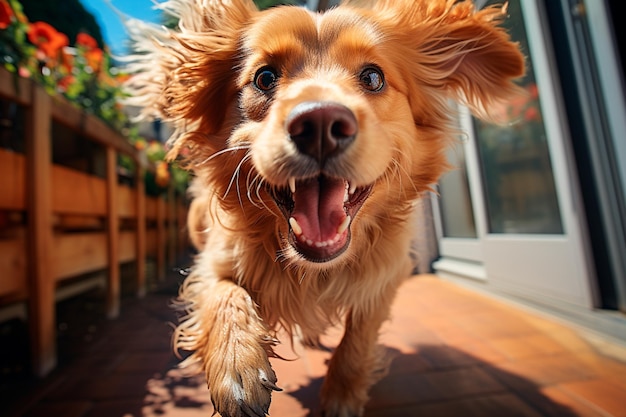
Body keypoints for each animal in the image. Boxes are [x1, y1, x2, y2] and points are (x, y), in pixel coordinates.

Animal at [124, 0, 524, 412]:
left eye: (373, 77)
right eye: (264, 78)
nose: (319, 123)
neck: (312, 270)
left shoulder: (387, 275)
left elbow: (359, 337)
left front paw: (341, 395)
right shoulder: (213, 263)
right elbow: (225, 294)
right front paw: (237, 366)